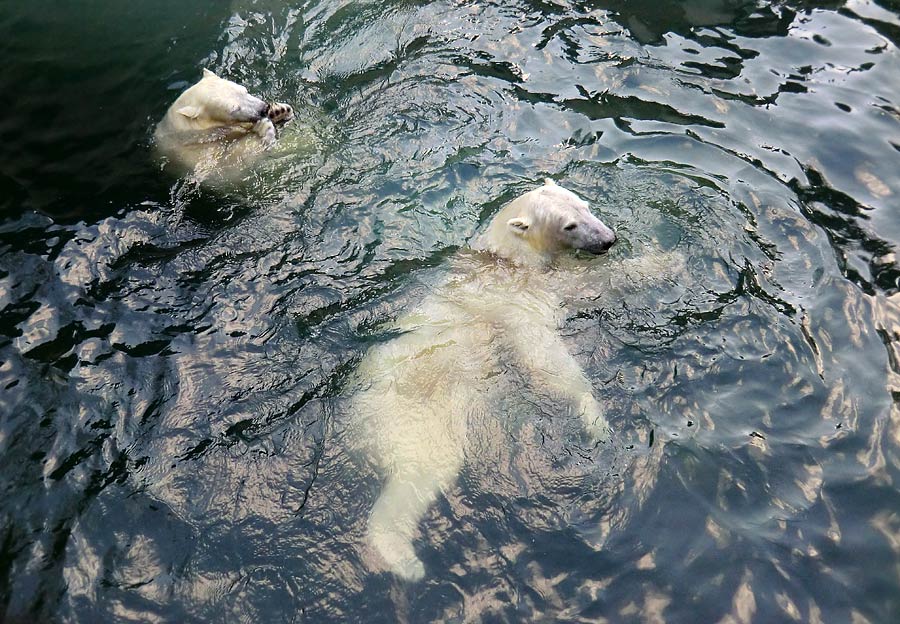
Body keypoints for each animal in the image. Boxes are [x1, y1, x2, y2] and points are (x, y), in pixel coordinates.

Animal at [155, 69, 294, 180]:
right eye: (234, 109)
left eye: (244, 90)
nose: (264, 108)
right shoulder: (195, 156)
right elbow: (229, 165)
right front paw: (265, 128)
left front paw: (278, 111)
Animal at [348, 179, 616, 580]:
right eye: (569, 225)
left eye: (585, 206)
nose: (608, 239)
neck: (504, 259)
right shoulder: (514, 301)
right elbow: (545, 358)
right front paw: (593, 416)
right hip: (413, 416)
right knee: (421, 474)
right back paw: (403, 559)